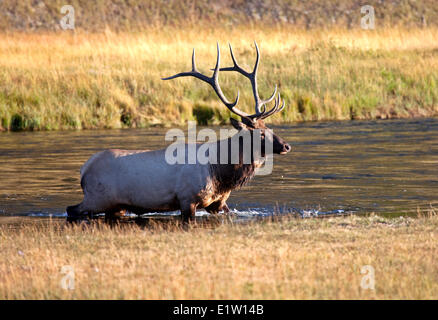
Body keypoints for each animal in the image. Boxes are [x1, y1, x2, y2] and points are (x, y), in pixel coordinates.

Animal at [66, 42, 290, 222]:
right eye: (260, 134)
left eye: (269, 128)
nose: (286, 146)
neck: (220, 174)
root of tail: (84, 169)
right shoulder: (186, 198)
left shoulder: (217, 203)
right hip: (97, 198)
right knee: (71, 209)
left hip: (115, 206)